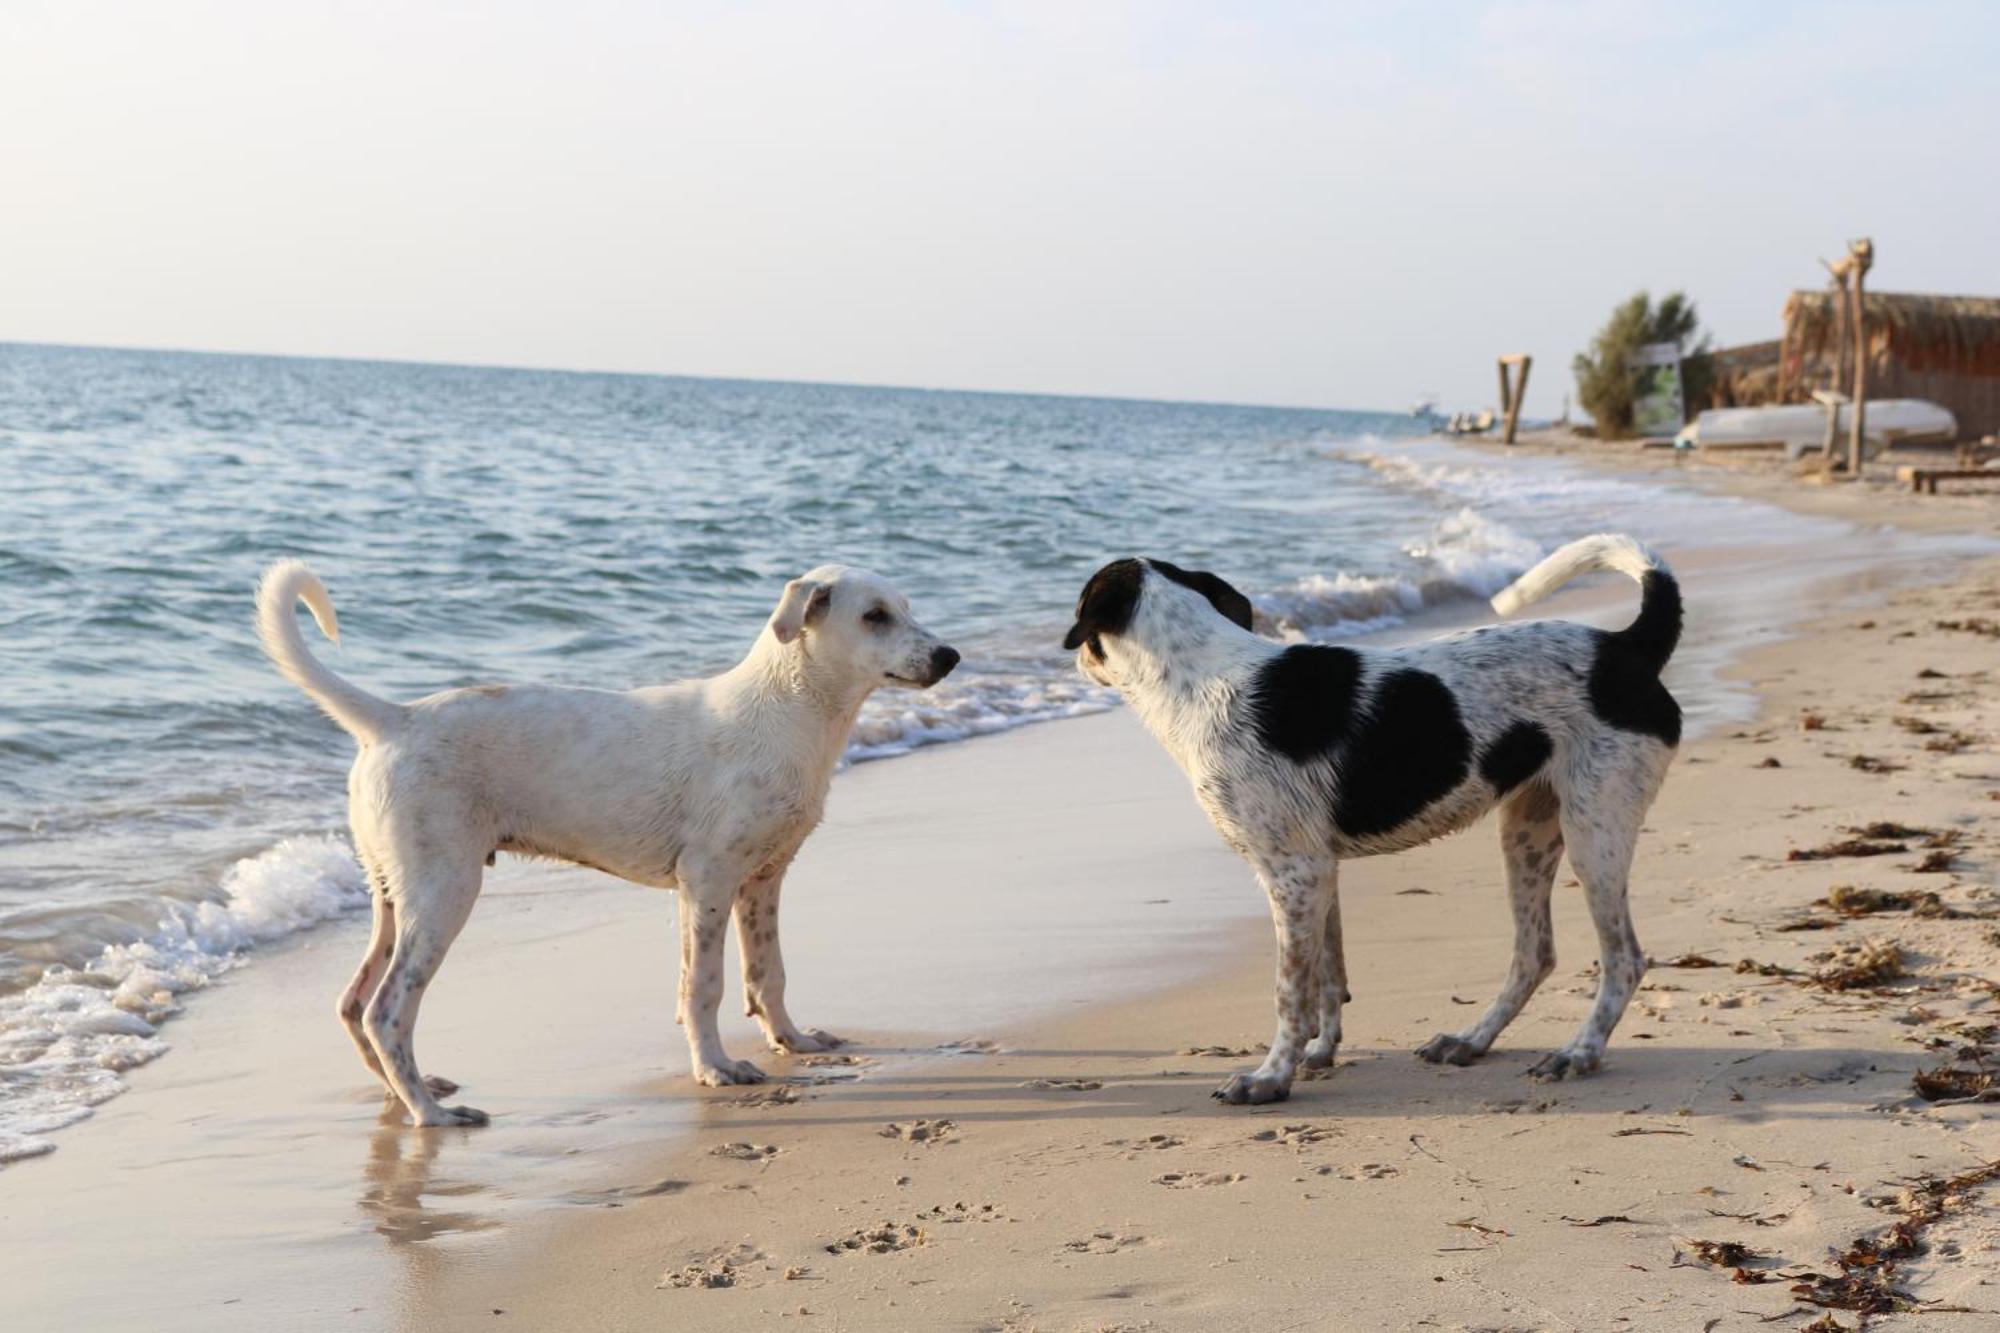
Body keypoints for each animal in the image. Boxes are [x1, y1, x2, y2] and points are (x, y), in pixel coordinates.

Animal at [258, 556, 960, 1120]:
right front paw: (716, 1069)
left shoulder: (763, 879)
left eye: (905, 608)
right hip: (444, 892)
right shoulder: (707, 881)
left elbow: (768, 974)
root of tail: (394, 719)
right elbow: (704, 985)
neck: (788, 713)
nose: (950, 656)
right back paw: (430, 1116)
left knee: (353, 1003)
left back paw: (408, 1094)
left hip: (394, 892)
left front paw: (793, 1042)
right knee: (387, 1010)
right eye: (874, 617)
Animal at [1072, 528, 1680, 1096]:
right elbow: (1328, 975)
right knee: (1535, 955)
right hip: (1528, 831)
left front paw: (1271, 1077)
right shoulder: (1318, 872)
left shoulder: (1293, 875)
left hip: (1594, 832)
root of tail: (1627, 648)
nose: (1076, 659)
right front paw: (1319, 1052)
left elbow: (1289, 991)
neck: (1199, 675)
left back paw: (1579, 1052)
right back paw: (1471, 1041)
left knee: (1623, 961)